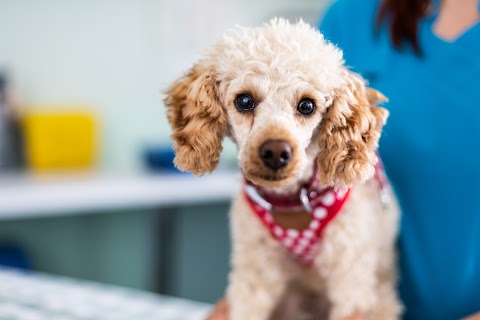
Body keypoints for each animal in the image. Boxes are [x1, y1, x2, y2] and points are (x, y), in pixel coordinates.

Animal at [165, 19, 402, 320]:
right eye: (244, 101)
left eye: (307, 105)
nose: (276, 152)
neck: (291, 201)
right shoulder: (254, 269)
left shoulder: (350, 275)